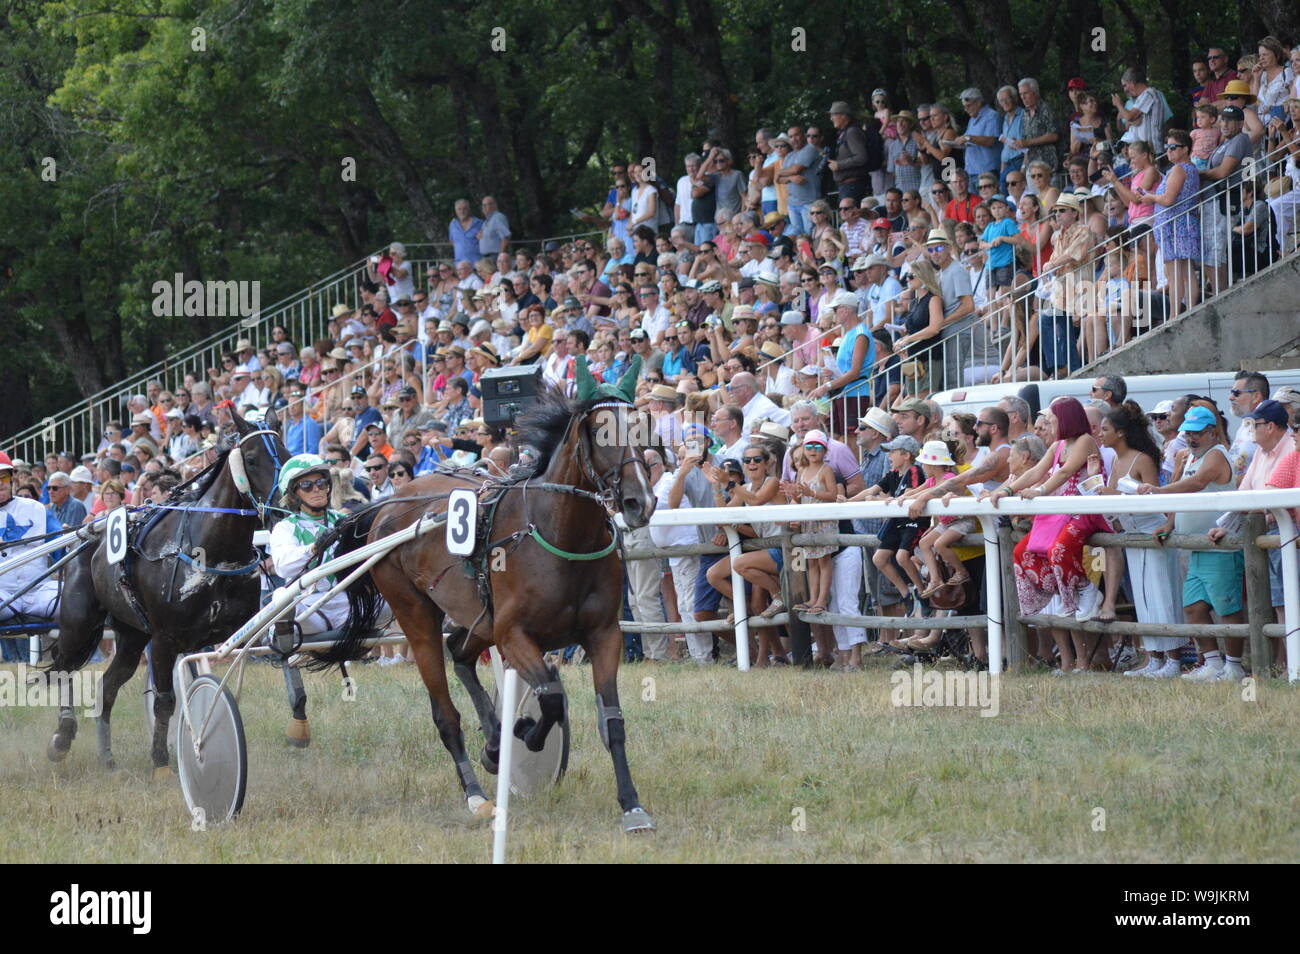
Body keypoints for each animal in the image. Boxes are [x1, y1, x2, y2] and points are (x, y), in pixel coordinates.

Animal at [45, 408, 289, 775]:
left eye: (285, 454)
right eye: (250, 458)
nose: (281, 508)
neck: (210, 551)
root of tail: (88, 535)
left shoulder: (220, 634)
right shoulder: (164, 638)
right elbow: (165, 701)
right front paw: (161, 759)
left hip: (131, 635)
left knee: (107, 686)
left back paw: (107, 757)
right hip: (80, 624)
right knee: (64, 666)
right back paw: (61, 737)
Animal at [311, 356, 660, 831]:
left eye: (644, 425)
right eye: (598, 429)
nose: (640, 502)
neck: (559, 533)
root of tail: (388, 505)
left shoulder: (604, 634)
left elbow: (612, 720)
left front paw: (632, 805)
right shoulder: (515, 636)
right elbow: (551, 698)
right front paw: (525, 732)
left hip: (478, 615)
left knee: (460, 651)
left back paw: (494, 742)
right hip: (416, 612)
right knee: (445, 711)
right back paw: (477, 795)